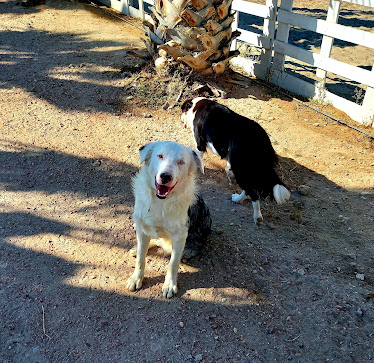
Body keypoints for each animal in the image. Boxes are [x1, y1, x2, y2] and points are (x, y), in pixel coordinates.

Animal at [128, 141, 205, 298]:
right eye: (160, 156)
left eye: (181, 162)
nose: (165, 176)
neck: (160, 202)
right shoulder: (142, 228)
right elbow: (140, 258)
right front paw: (136, 278)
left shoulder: (180, 237)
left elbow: (173, 263)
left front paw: (169, 285)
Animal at [182, 98, 292, 226]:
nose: (181, 118)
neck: (195, 106)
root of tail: (261, 140)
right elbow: (227, 166)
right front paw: (229, 176)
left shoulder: (199, 144)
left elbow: (198, 156)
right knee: (250, 189)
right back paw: (239, 199)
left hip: (241, 169)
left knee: (252, 193)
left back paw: (256, 215)